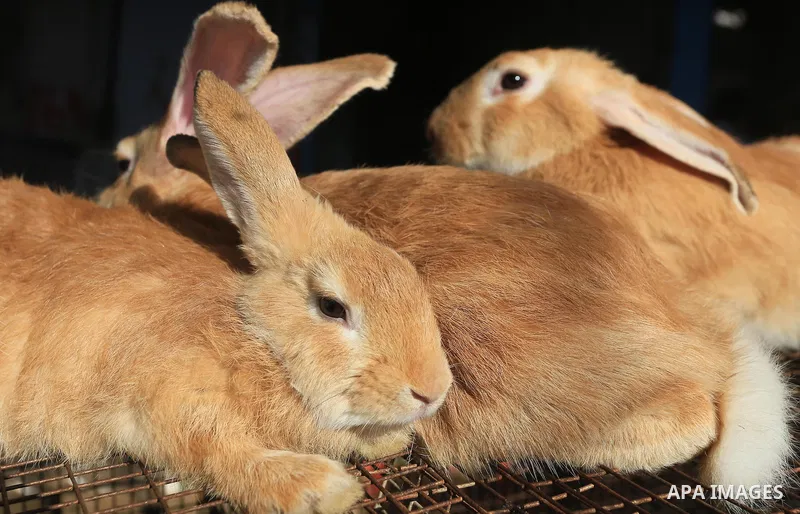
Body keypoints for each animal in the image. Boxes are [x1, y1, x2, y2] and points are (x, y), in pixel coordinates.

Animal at [0, 71, 453, 514]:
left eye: (408, 274)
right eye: (331, 307)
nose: (432, 391)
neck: (252, 333)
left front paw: (389, 440)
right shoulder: (164, 399)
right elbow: (221, 453)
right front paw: (321, 488)